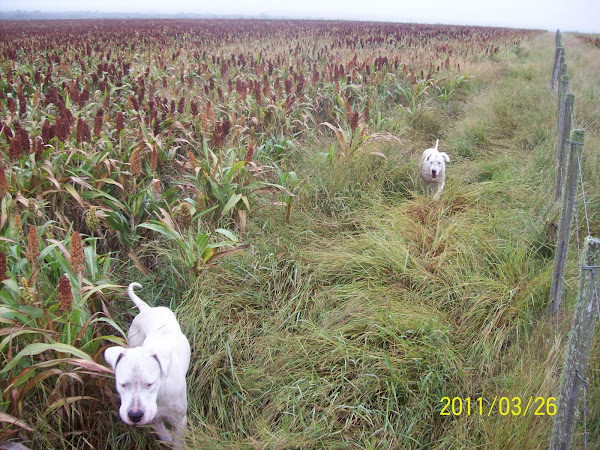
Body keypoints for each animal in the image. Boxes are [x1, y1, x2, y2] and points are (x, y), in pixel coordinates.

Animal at [104, 284, 191, 448]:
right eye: (122, 385)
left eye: (150, 383)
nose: (135, 415)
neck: (159, 393)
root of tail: (146, 309)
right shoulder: (154, 420)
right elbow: (164, 435)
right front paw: (167, 439)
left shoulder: (179, 421)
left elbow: (177, 442)